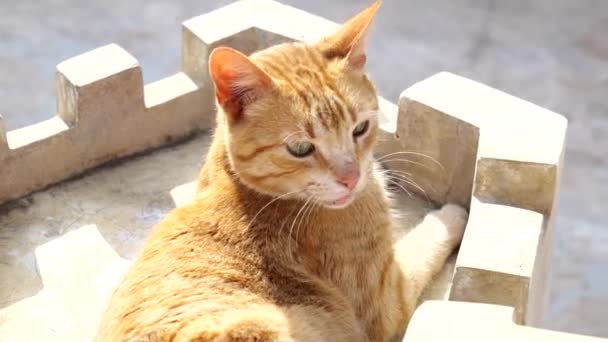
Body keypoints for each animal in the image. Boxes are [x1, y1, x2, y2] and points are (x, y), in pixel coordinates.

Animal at [97, 1, 468, 340]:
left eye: (360, 129)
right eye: (301, 149)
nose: (351, 179)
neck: (244, 185)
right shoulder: (389, 299)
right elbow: (426, 242)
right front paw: (451, 215)